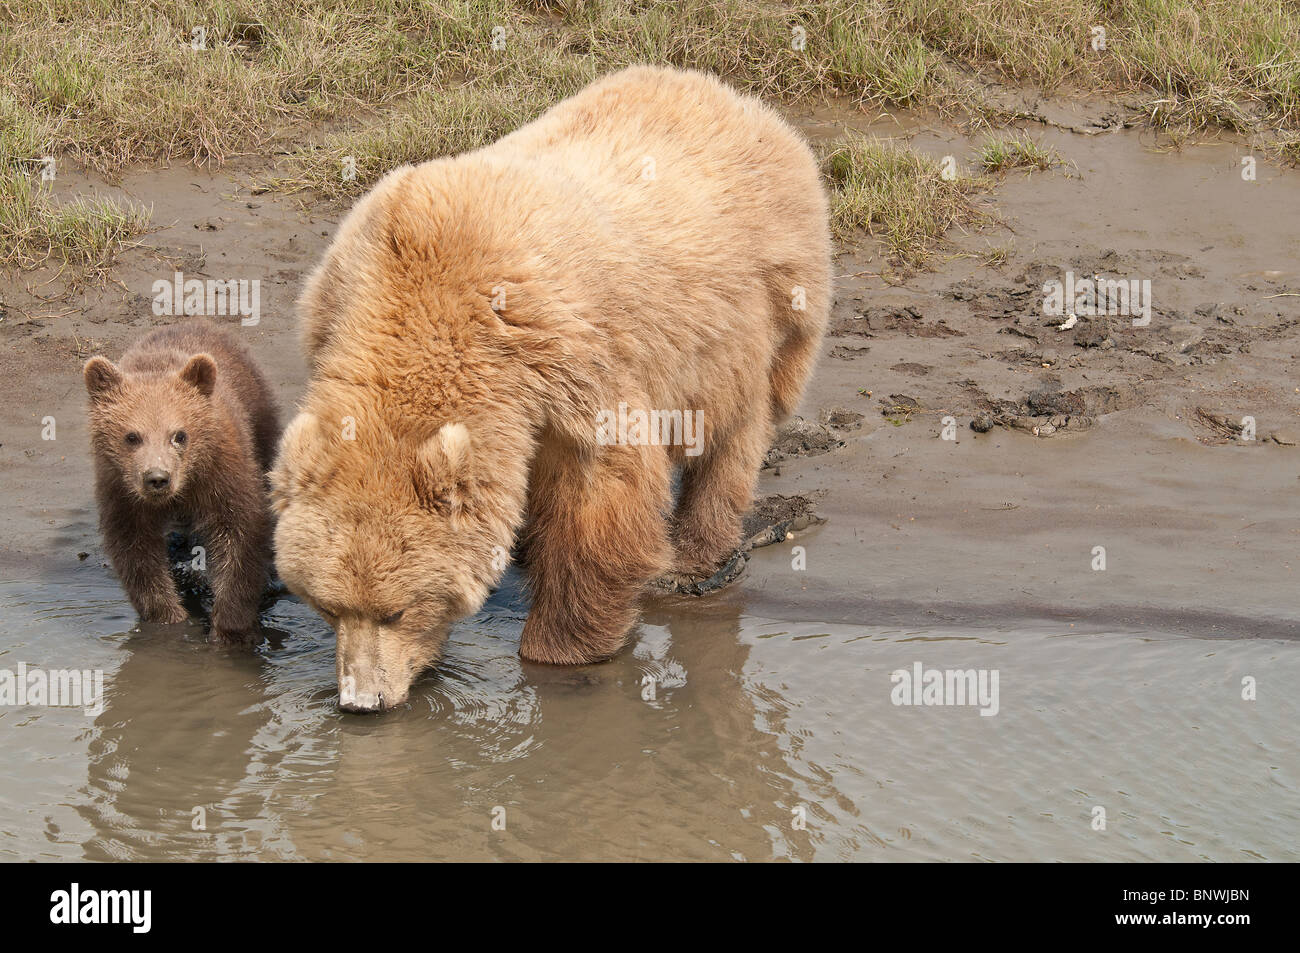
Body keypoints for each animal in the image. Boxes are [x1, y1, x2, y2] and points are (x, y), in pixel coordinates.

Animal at [84, 319, 280, 642]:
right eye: (132, 436)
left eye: (179, 435)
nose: (157, 478)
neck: (185, 486)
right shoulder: (121, 490)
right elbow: (135, 551)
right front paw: (170, 620)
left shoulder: (221, 474)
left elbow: (239, 535)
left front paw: (229, 628)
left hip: (259, 416)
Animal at [270, 65, 831, 712]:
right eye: (328, 606)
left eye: (396, 611)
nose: (362, 701)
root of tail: (737, 99)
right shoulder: (336, 307)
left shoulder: (567, 353)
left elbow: (603, 486)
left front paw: (561, 646)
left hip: (758, 312)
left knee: (735, 432)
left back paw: (696, 558)